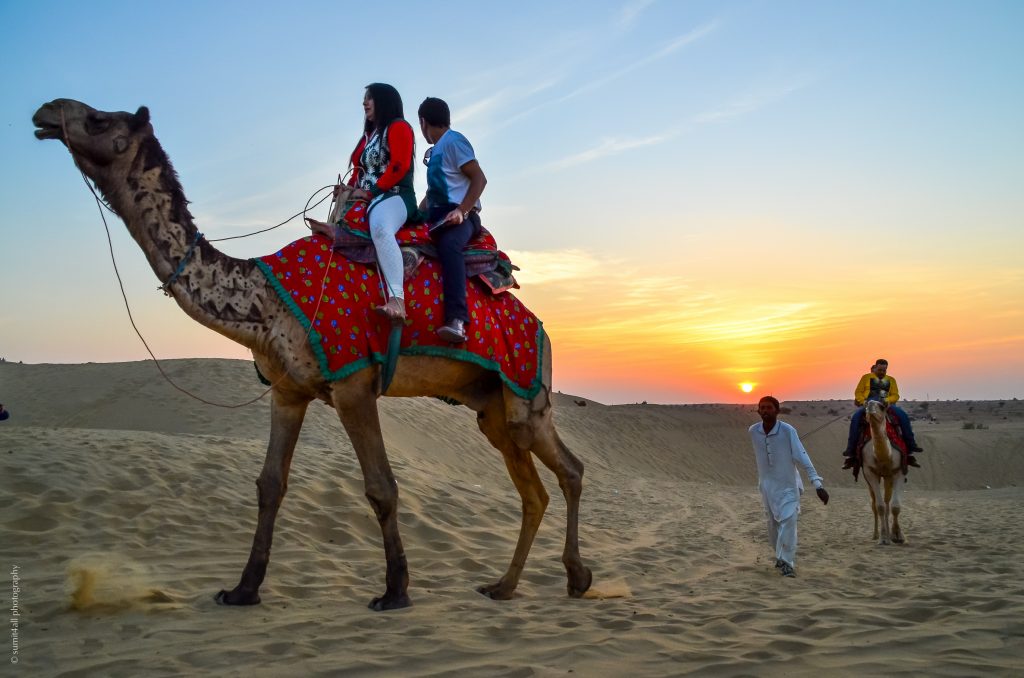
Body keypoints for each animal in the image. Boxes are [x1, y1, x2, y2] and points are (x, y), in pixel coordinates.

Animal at [34, 99, 593, 610]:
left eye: (99, 119)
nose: (45, 111)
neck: (265, 300)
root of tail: (539, 326)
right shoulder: (287, 391)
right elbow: (269, 484)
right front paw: (243, 589)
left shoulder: (353, 384)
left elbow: (381, 487)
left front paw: (395, 591)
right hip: (490, 404)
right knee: (534, 490)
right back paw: (505, 585)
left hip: (526, 391)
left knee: (569, 469)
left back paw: (576, 577)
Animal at [860, 401, 909, 544]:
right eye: (865, 405)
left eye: (882, 406)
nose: (870, 406)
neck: (884, 457)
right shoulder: (870, 472)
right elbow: (879, 506)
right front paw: (882, 538)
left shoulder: (899, 471)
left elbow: (895, 506)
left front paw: (898, 536)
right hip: (871, 480)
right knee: (874, 504)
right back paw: (876, 535)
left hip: (888, 477)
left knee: (888, 502)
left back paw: (889, 534)